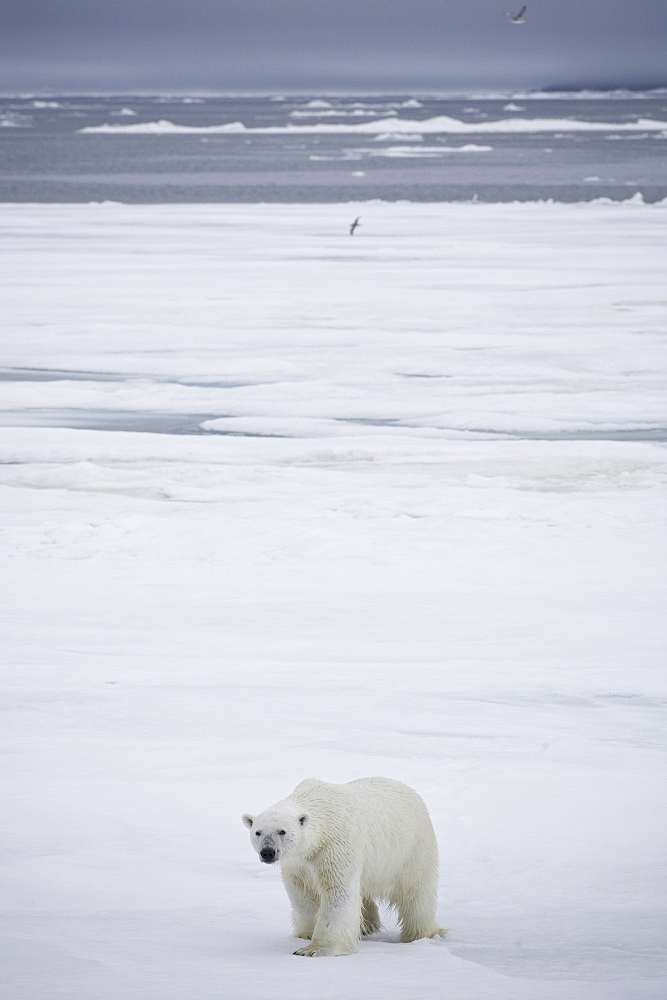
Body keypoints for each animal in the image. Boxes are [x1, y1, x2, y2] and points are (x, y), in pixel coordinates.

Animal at [240, 776, 444, 956]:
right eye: (258, 832)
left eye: (282, 831)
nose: (267, 852)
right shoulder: (297, 861)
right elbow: (301, 891)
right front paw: (305, 934)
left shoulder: (335, 845)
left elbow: (337, 889)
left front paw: (314, 949)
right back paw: (367, 925)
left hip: (410, 848)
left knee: (416, 892)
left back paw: (419, 934)